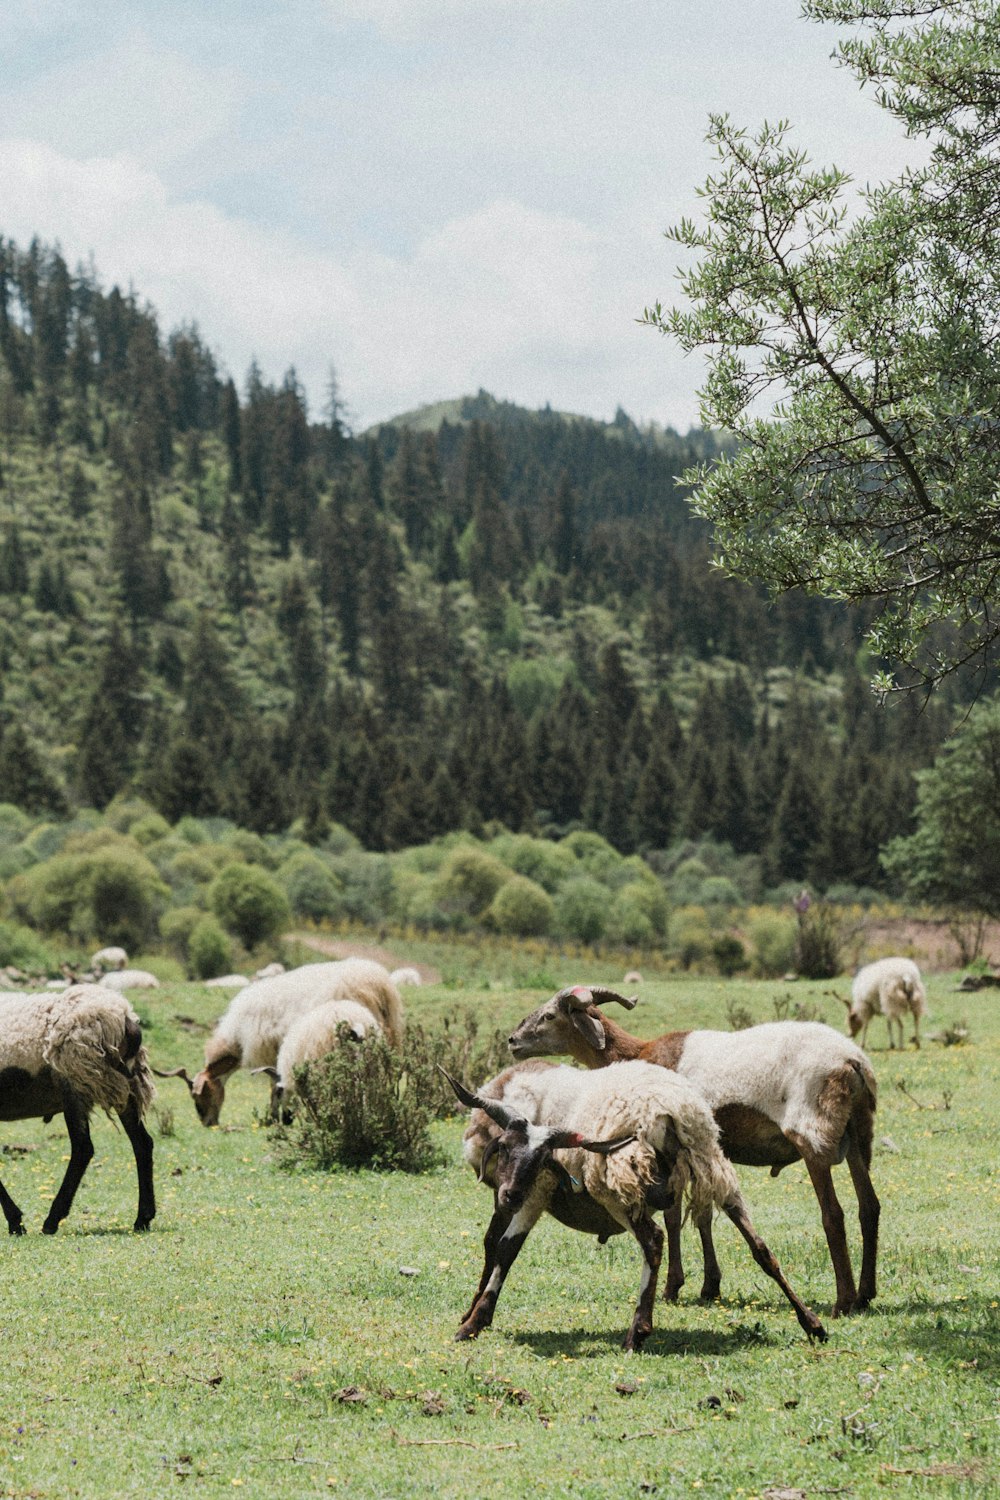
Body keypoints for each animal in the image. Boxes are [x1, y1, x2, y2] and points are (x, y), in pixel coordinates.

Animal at [0, 984, 155, 1230]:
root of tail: (124, 1016)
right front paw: (15, 1220)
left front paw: (15, 1221)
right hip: (123, 1083)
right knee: (142, 1142)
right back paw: (143, 1218)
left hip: (78, 1081)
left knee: (83, 1148)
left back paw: (52, 1219)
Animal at [446, 1062, 827, 1356]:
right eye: (506, 1149)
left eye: (541, 1158)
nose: (510, 1195)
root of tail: (671, 1111)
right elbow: (493, 1244)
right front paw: (472, 1313)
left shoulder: (538, 1190)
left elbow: (504, 1249)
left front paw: (473, 1323)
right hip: (712, 1166)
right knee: (760, 1246)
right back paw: (812, 1323)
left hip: (618, 1187)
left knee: (653, 1241)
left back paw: (637, 1332)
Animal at [512, 990, 881, 1320]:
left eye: (549, 1016)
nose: (513, 1041)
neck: (639, 1053)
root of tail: (853, 1062)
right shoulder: (702, 1153)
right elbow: (703, 1215)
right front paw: (709, 1286)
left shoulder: (667, 1146)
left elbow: (673, 1217)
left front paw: (673, 1287)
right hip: (858, 1136)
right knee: (869, 1207)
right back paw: (865, 1295)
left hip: (813, 1133)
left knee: (833, 1215)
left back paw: (843, 1302)